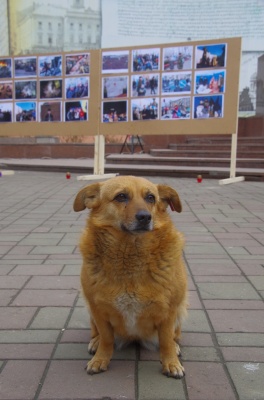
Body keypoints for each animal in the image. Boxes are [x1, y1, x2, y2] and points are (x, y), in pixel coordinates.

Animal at [73, 175, 187, 378]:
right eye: (121, 196)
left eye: (151, 198)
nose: (145, 217)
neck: (131, 255)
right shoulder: (98, 310)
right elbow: (106, 338)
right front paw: (101, 359)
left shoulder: (169, 312)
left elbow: (166, 341)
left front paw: (171, 362)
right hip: (91, 312)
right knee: (97, 333)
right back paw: (95, 342)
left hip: (180, 311)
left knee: (173, 337)